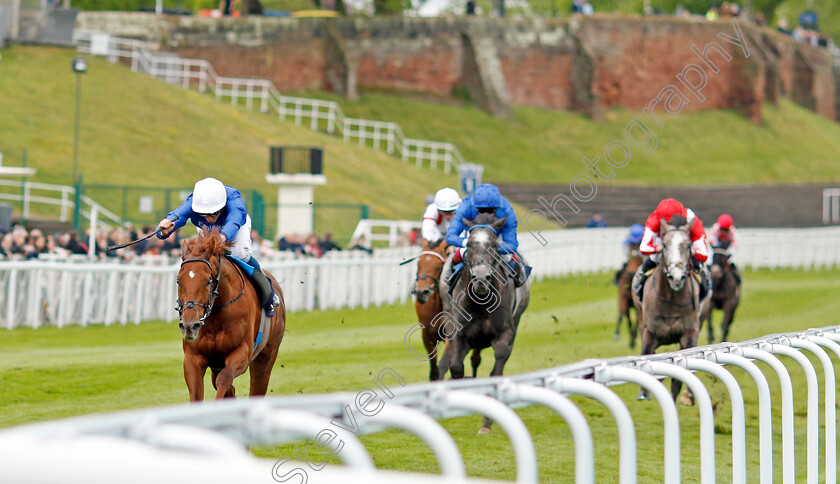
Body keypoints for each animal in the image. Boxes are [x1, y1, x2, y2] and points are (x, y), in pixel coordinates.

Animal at [436, 214, 528, 432]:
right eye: (469, 243)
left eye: (494, 244)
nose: (480, 278)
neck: (481, 301)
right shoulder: (460, 335)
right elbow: (456, 368)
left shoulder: (505, 335)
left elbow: (496, 372)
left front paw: (487, 422)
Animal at [636, 215, 704, 400]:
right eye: (665, 245)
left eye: (688, 245)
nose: (677, 278)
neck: (671, 301)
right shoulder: (649, 332)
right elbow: (647, 355)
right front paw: (644, 391)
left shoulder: (689, 334)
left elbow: (683, 372)